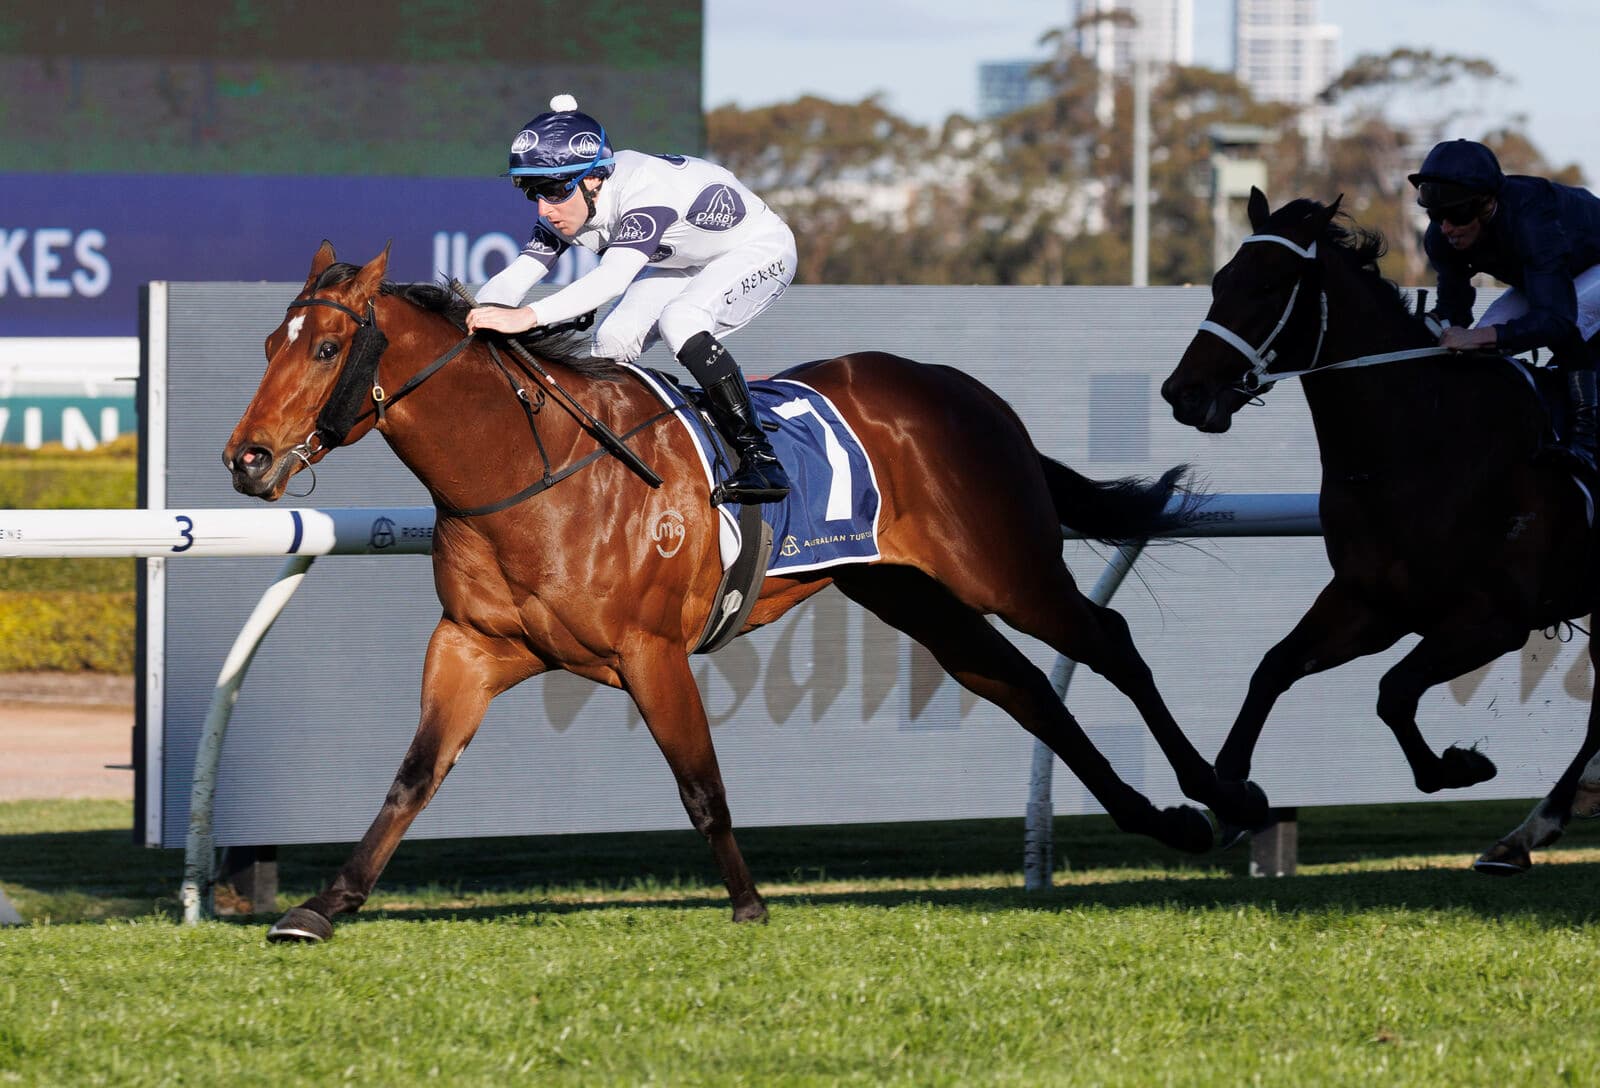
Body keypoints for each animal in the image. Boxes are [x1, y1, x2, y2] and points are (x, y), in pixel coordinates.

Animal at [223, 241, 1268, 943]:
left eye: (325, 351)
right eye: (268, 340)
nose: (248, 460)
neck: (529, 470)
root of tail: (965, 391)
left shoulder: (648, 653)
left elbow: (701, 785)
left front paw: (750, 903)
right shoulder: (474, 645)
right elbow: (413, 777)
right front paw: (322, 905)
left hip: (1003, 566)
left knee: (1105, 640)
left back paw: (1221, 793)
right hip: (915, 594)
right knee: (1024, 687)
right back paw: (1162, 820)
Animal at [1160, 187, 1600, 874]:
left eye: (1270, 283)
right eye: (1220, 279)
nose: (1183, 392)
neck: (1420, 440)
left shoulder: (1495, 618)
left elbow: (1393, 691)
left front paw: (1460, 766)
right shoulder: (1372, 602)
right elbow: (1272, 668)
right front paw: (1229, 795)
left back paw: (1535, 825)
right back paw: (1528, 831)